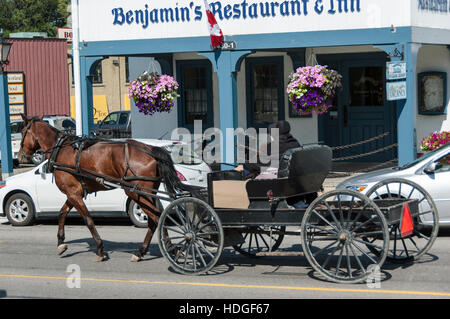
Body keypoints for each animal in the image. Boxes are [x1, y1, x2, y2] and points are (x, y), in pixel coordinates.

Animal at [18, 115, 188, 262]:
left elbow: (88, 220)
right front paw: (61, 243)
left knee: (157, 218)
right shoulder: (74, 193)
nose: (20, 156)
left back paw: (167, 247)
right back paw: (147, 251)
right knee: (156, 219)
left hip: (136, 192)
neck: (60, 149)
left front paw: (100, 249)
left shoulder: (73, 193)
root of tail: (151, 149)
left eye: (22, 131)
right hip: (147, 193)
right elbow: (62, 213)